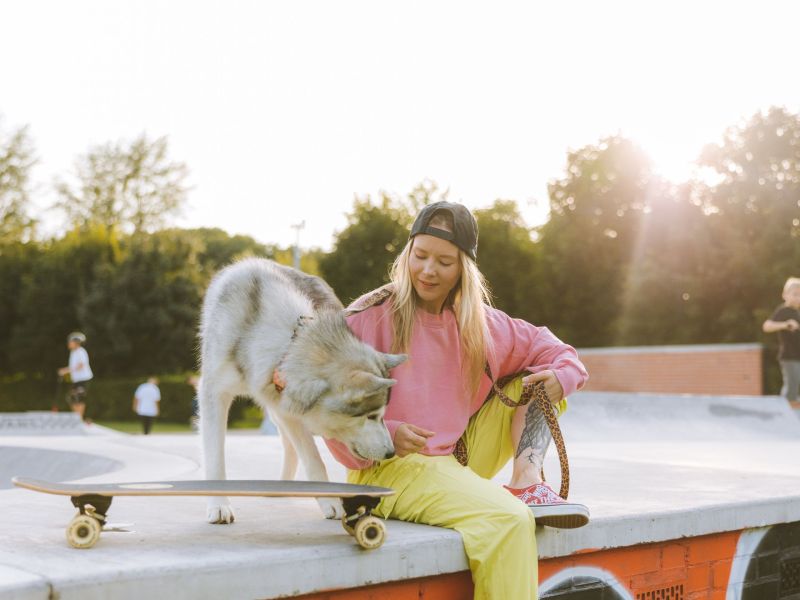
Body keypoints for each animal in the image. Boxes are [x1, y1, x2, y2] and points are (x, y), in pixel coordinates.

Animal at [197, 260, 404, 524]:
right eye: (370, 416)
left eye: (381, 415)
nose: (391, 452)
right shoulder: (214, 394)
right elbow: (215, 458)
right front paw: (219, 505)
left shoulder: (289, 405)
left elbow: (313, 457)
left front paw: (329, 500)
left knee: (291, 446)